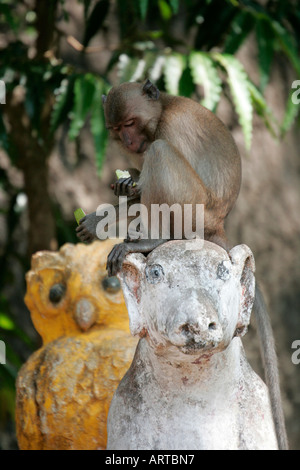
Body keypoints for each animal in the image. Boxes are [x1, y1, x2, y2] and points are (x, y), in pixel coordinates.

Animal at [77, 79, 288, 450]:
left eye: (130, 123)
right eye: (117, 129)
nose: (128, 142)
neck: (161, 111)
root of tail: (217, 226)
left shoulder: (167, 130)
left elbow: (157, 159)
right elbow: (135, 186)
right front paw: (115, 195)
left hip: (194, 209)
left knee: (159, 154)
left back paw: (153, 240)